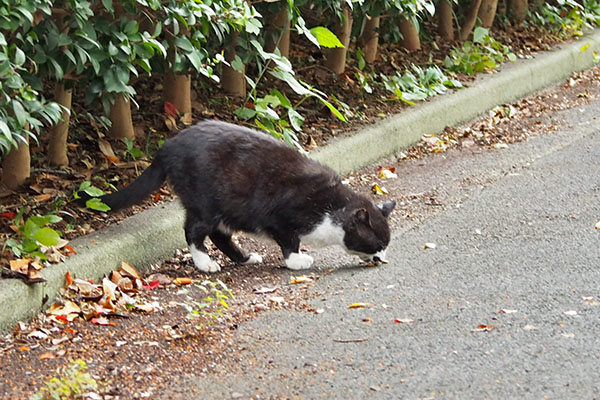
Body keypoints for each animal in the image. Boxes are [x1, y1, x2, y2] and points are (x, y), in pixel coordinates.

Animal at [92, 120, 394, 274]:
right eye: (377, 243)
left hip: (227, 208)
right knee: (193, 231)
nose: (382, 258)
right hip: (206, 202)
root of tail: (168, 145)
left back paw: (246, 258)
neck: (331, 209)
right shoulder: (280, 218)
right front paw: (297, 261)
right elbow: (290, 242)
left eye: (386, 244)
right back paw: (205, 263)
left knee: (219, 235)